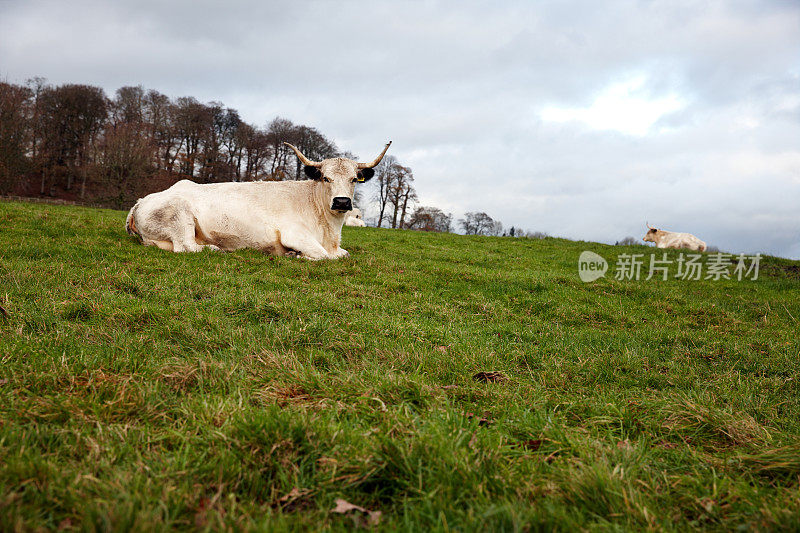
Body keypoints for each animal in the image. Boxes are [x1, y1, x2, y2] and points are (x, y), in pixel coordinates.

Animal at [125, 140, 394, 258]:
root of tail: (141, 200)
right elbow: (327, 257)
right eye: (326, 178)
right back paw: (215, 248)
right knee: (186, 247)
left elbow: (343, 254)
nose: (341, 202)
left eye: (353, 179)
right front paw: (295, 255)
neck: (330, 232)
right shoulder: (295, 234)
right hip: (179, 216)